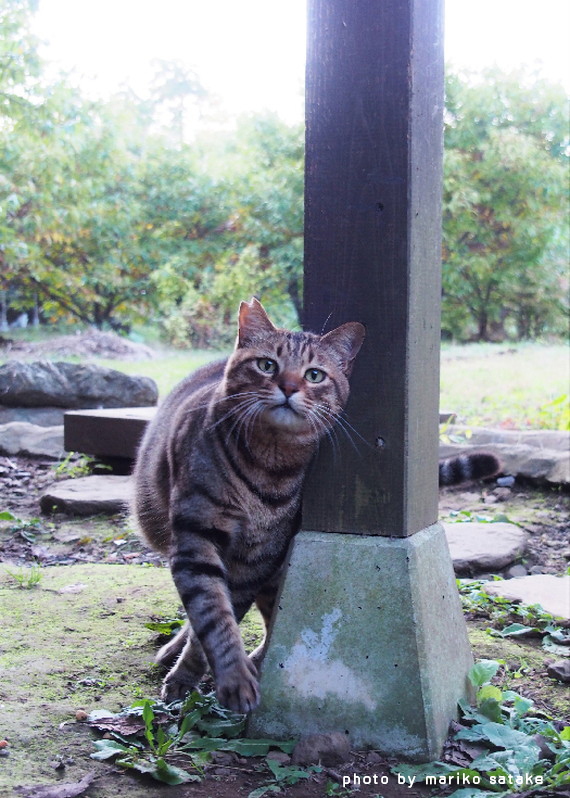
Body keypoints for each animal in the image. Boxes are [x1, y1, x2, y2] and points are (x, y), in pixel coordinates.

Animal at [133, 300, 364, 712]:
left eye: (315, 375)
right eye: (267, 365)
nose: (288, 387)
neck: (269, 465)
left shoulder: (257, 558)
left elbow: (215, 622)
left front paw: (202, 673)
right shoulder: (196, 538)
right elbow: (212, 615)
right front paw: (229, 678)